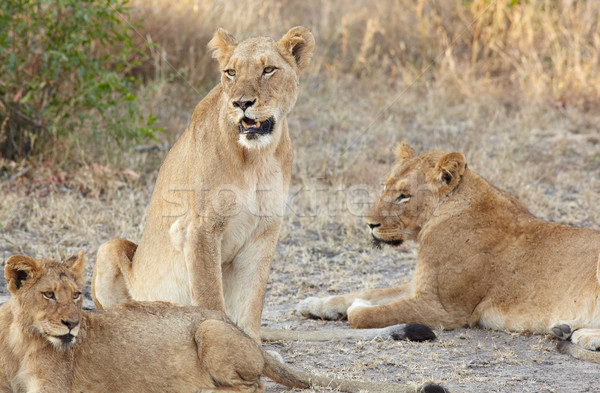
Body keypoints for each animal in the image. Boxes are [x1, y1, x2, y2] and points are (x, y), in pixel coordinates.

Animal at [1, 251, 446, 392]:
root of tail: (250, 339)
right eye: (48, 294)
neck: (23, 341)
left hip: (208, 329)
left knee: (255, 386)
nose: (72, 324)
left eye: (77, 294)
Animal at [298, 143, 600, 362]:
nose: (369, 223)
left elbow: (365, 314)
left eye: (403, 196)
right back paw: (565, 329)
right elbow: (366, 292)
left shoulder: (444, 309)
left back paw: (582, 336)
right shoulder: (420, 286)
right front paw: (313, 304)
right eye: (384, 187)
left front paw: (358, 308)